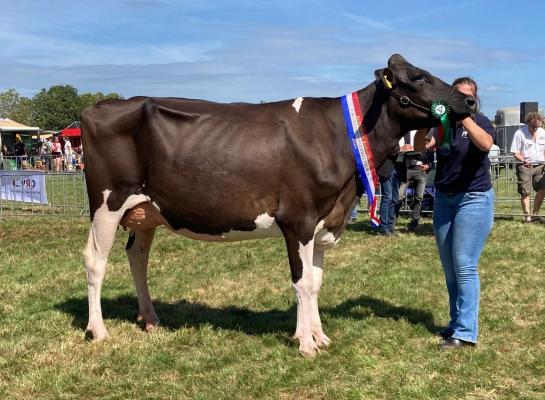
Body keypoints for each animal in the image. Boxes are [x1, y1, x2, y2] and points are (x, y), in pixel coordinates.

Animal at [82, 53, 476, 356]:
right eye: (418, 77)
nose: (471, 101)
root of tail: (101, 106)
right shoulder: (298, 219)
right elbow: (301, 282)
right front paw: (306, 344)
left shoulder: (325, 222)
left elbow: (315, 283)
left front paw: (319, 336)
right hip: (107, 202)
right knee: (95, 261)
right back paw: (98, 331)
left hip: (146, 211)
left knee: (138, 258)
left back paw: (151, 320)